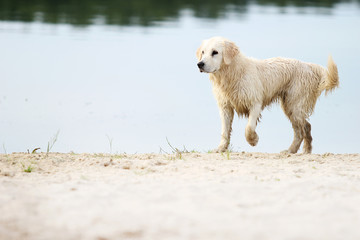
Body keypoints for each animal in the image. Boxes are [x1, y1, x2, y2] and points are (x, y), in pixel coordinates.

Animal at [195, 37, 338, 154]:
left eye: (215, 52)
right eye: (203, 52)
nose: (200, 64)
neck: (233, 73)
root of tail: (309, 66)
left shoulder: (255, 103)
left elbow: (249, 128)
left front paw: (253, 140)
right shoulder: (225, 107)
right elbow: (225, 131)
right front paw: (220, 148)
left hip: (294, 104)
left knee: (301, 130)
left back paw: (291, 150)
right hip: (290, 106)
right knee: (306, 127)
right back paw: (303, 150)